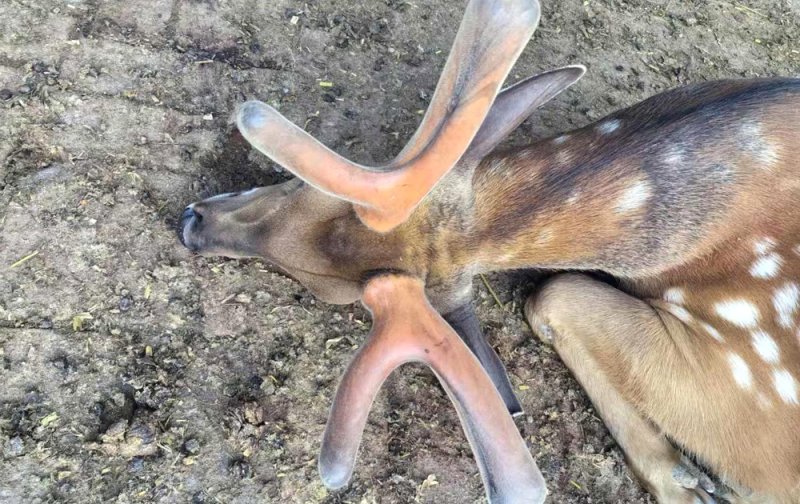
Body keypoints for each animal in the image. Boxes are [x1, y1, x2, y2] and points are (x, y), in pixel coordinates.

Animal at [177, 0, 800, 502]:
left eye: (327, 291)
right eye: (294, 186)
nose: (192, 225)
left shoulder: (755, 387)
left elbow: (554, 290)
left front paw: (688, 480)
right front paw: (685, 479)